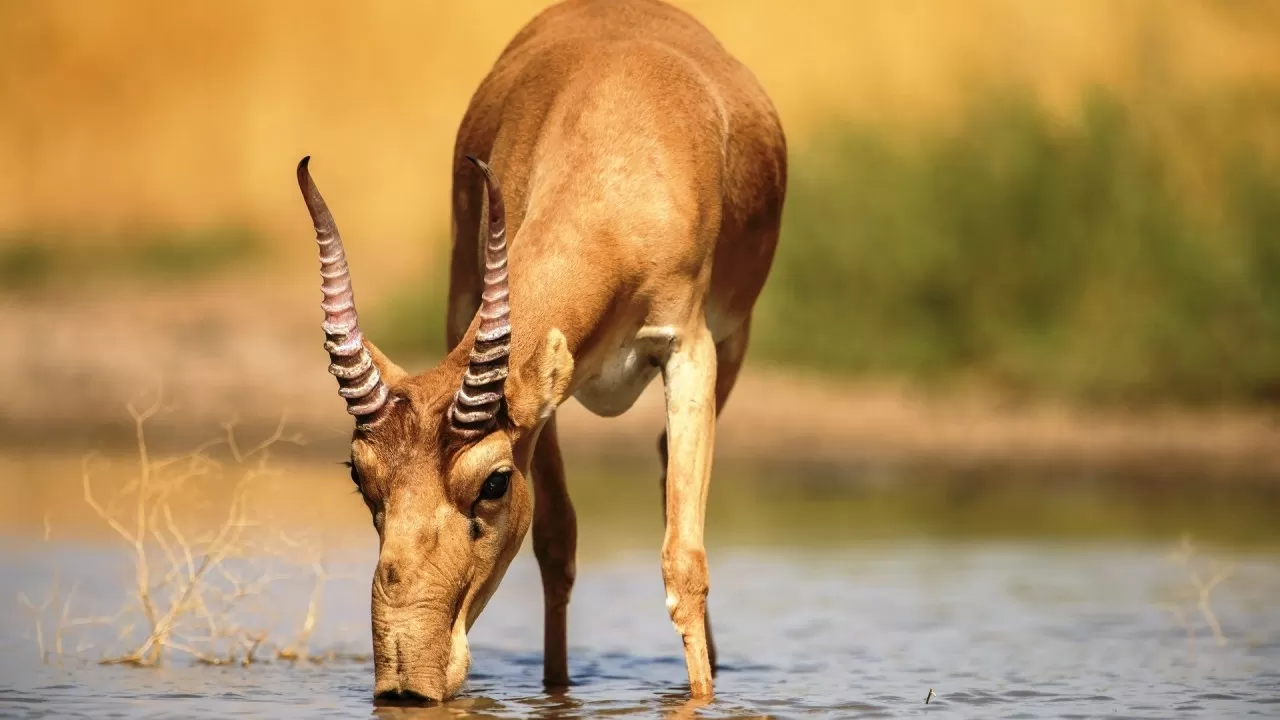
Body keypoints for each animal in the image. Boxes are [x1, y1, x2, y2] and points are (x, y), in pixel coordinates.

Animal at [294, 0, 783, 696]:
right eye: (361, 477)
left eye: (494, 482)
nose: (406, 682)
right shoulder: (542, 392)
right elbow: (556, 543)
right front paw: (557, 691)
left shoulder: (690, 352)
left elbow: (683, 564)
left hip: (732, 350)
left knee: (670, 472)